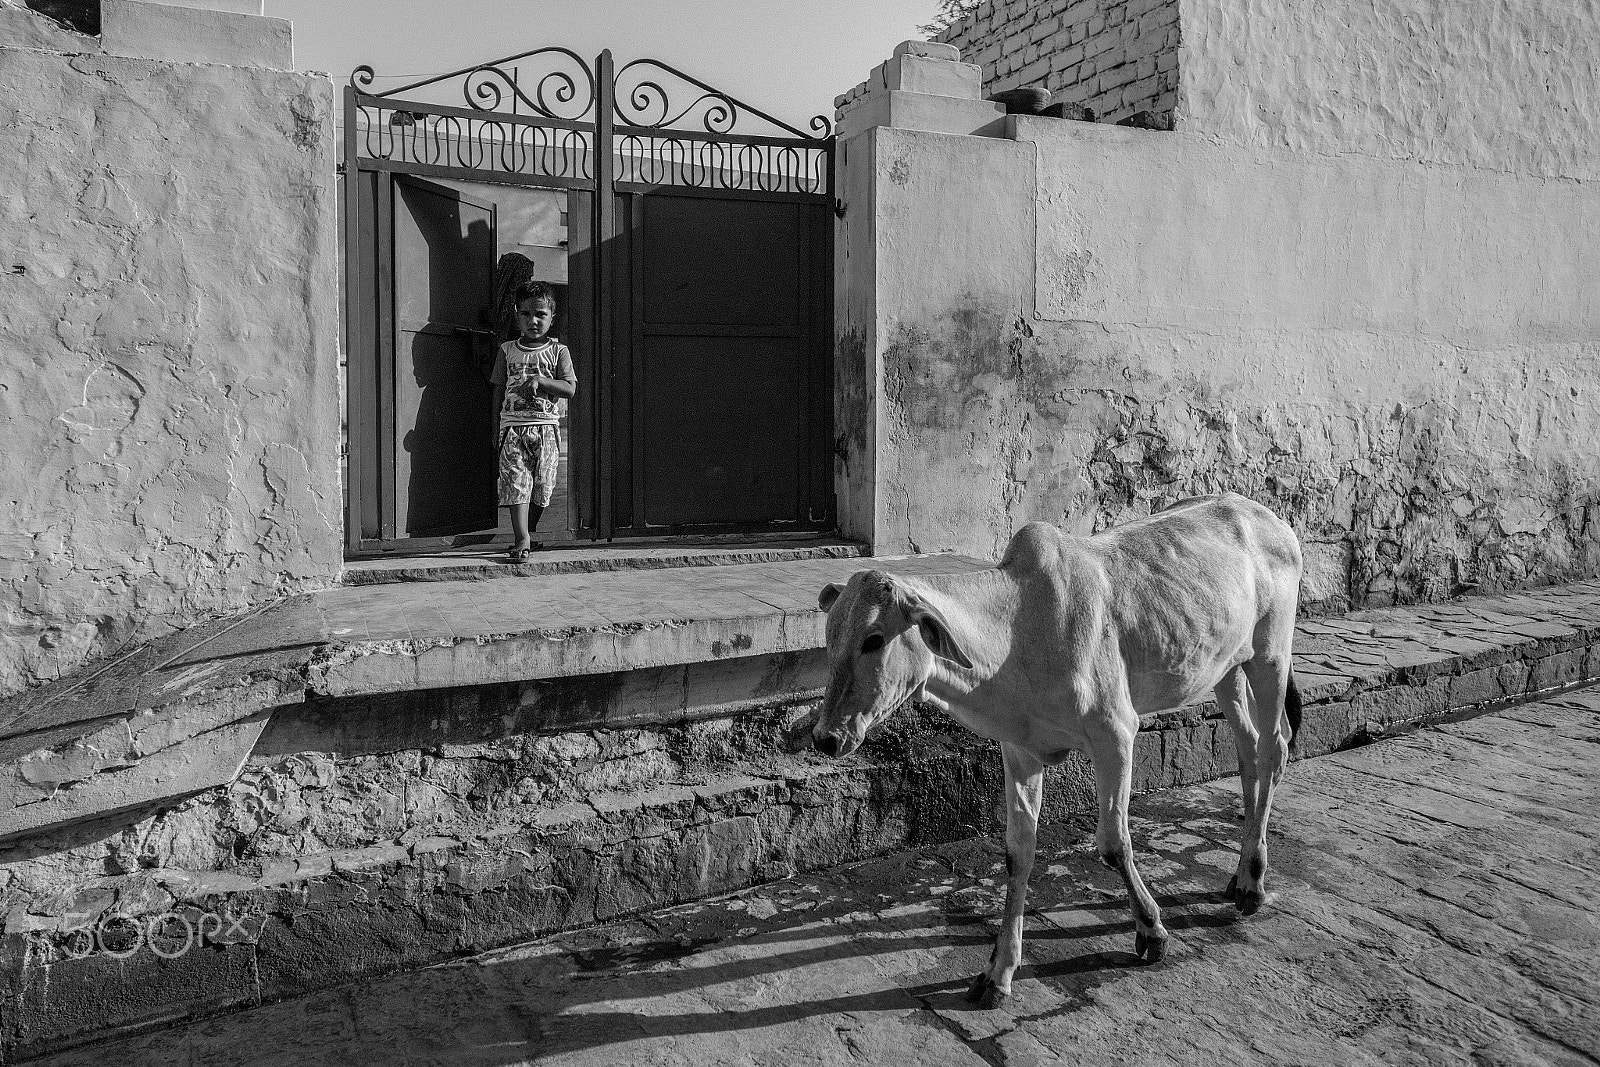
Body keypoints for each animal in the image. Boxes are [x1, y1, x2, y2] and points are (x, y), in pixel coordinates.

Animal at [812, 492, 1299, 1011]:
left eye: (874, 639)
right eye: (830, 637)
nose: (825, 737)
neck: (1018, 630)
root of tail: (1264, 514)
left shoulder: (1116, 733)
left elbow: (1113, 842)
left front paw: (1151, 930)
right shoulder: (1020, 751)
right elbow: (1018, 853)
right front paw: (999, 972)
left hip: (1270, 655)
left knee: (1273, 749)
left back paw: (1252, 882)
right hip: (1226, 668)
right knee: (1248, 752)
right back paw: (1240, 871)